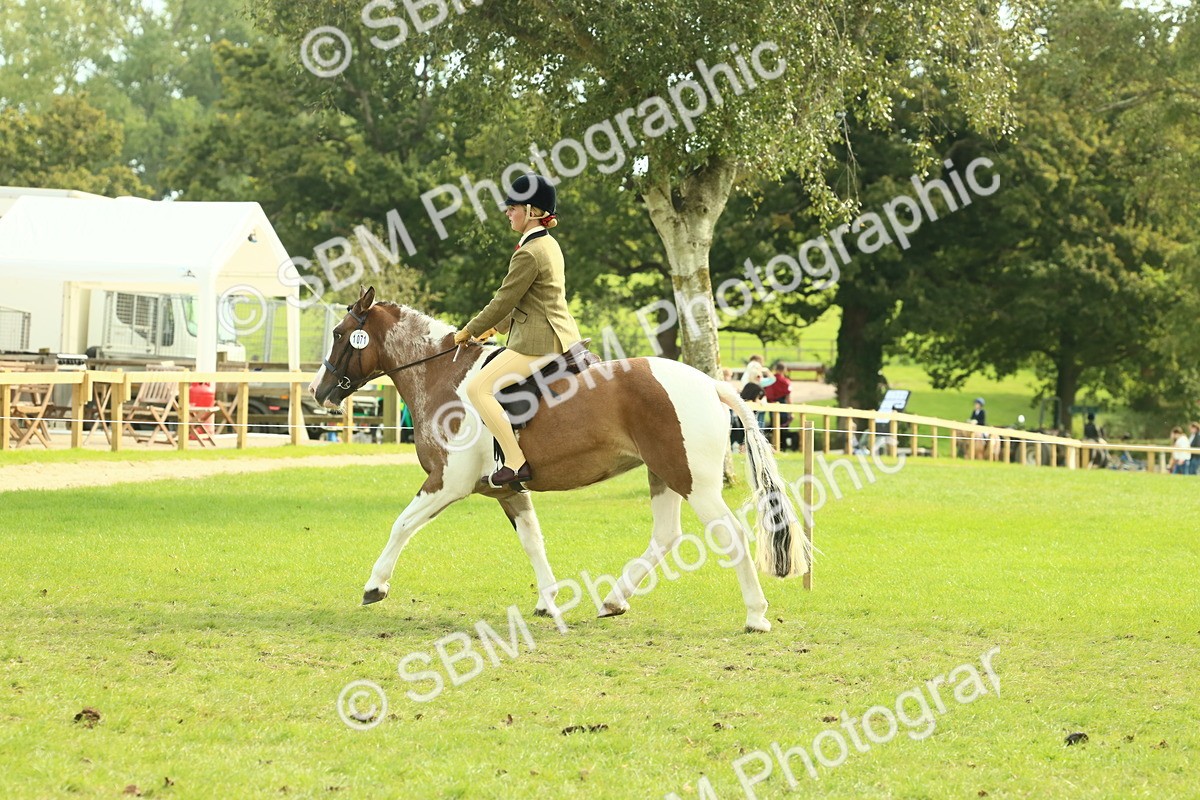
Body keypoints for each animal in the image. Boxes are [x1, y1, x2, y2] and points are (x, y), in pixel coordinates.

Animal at [308, 287, 810, 632]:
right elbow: (534, 541)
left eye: (338, 334)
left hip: (694, 483)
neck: (441, 375)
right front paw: (550, 601)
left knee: (731, 535)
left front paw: (375, 585)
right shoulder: (507, 487)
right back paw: (613, 600)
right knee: (666, 536)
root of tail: (711, 384)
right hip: (664, 475)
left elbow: (402, 524)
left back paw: (756, 615)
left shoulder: (446, 482)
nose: (318, 392)